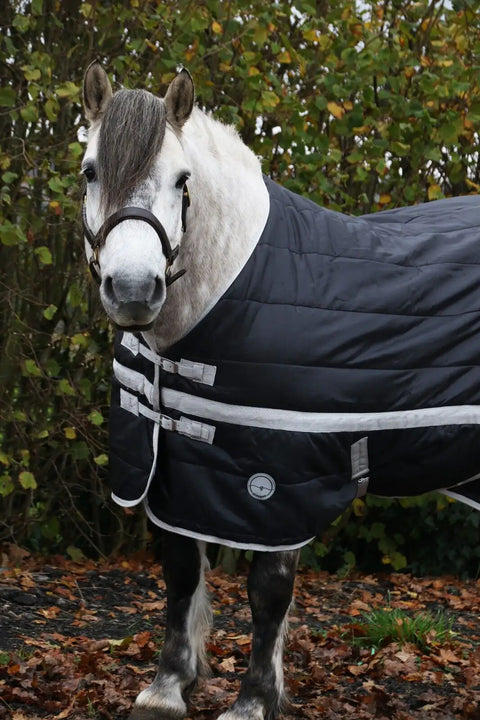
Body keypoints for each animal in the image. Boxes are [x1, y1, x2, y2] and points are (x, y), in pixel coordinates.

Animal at [81, 61, 480, 720]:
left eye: (183, 180)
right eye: (90, 170)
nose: (134, 290)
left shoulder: (275, 482)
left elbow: (268, 593)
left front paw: (253, 700)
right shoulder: (174, 468)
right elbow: (181, 573)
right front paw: (168, 686)